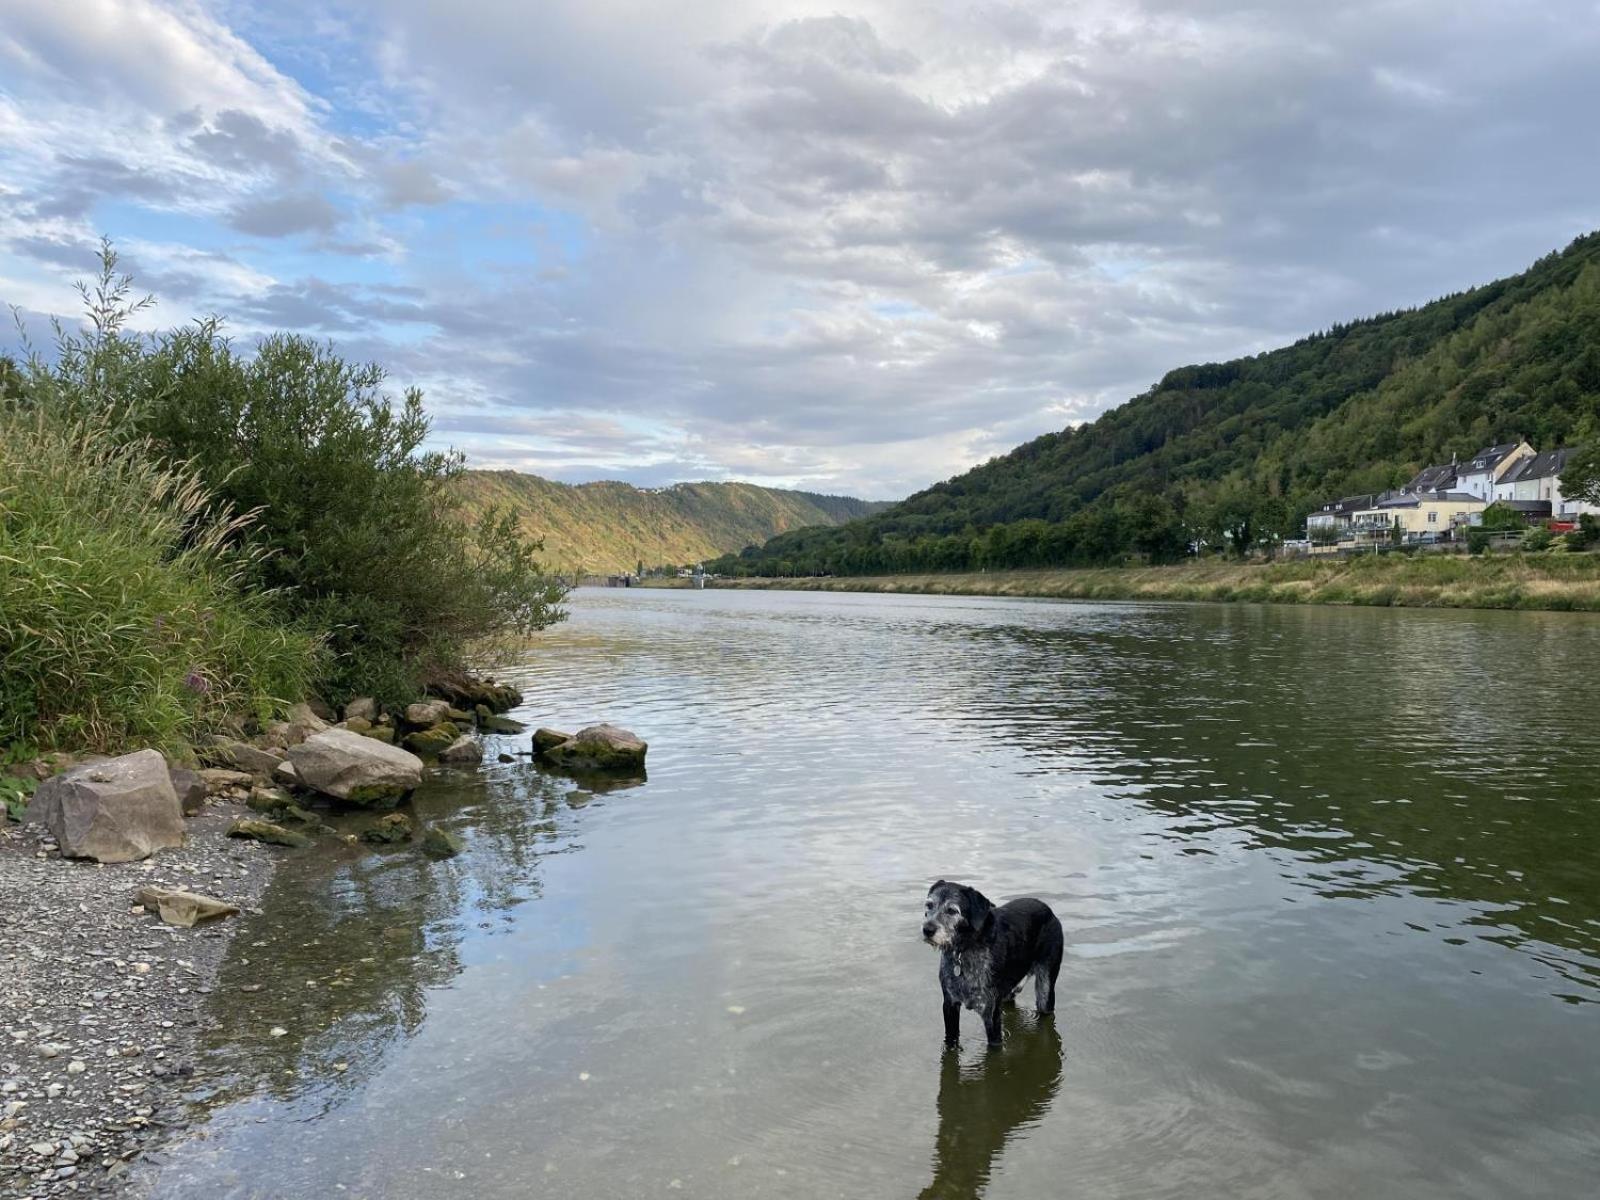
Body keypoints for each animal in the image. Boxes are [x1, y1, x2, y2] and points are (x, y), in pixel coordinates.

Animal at [928, 883, 1062, 1043]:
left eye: (952, 910)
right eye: (929, 905)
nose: (927, 929)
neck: (965, 949)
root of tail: (1049, 911)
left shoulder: (990, 1013)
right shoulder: (950, 1005)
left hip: (1045, 993)